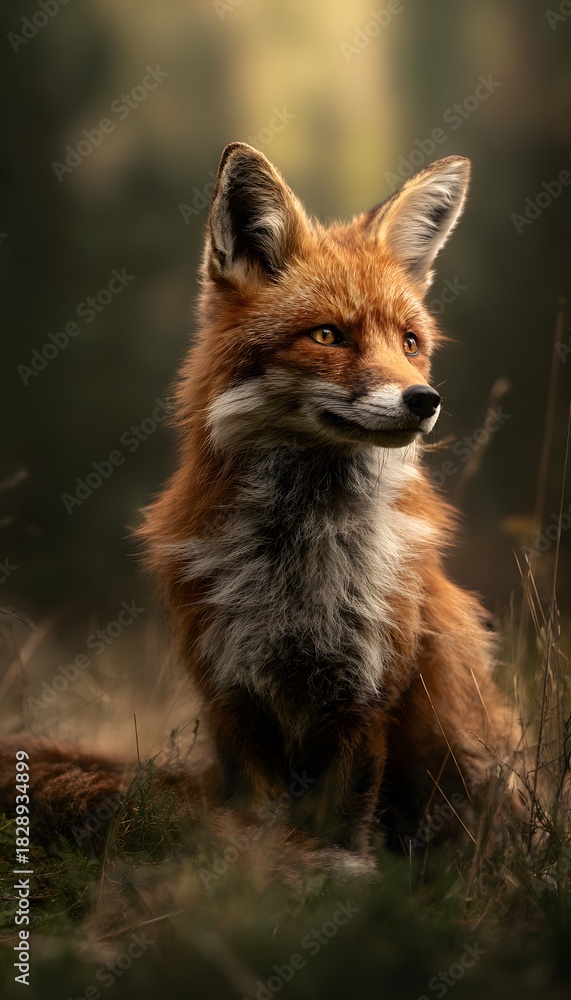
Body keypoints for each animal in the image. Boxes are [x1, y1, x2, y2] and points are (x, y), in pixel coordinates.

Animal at [0, 144, 524, 877]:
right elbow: (264, 826)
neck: (301, 560)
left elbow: (342, 825)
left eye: (410, 343)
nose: (424, 400)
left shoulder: (364, 698)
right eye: (328, 335)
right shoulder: (234, 696)